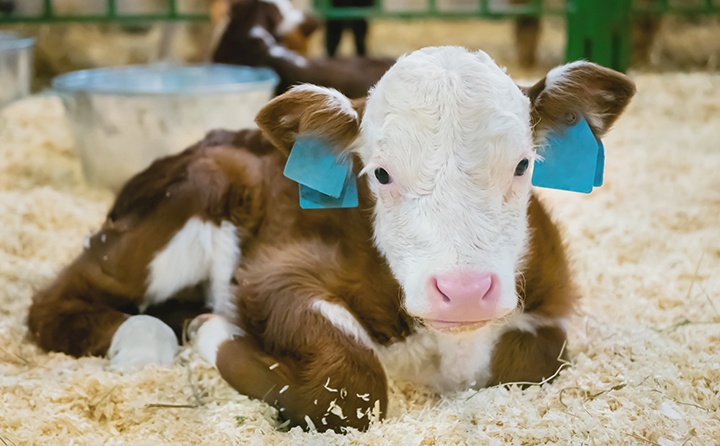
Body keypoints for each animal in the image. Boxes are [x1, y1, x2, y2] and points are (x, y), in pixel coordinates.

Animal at [28, 46, 636, 433]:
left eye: (522, 164)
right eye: (380, 173)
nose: (463, 290)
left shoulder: (549, 301)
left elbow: (534, 359)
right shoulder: (272, 272)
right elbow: (349, 385)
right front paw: (215, 332)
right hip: (191, 198)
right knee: (57, 301)